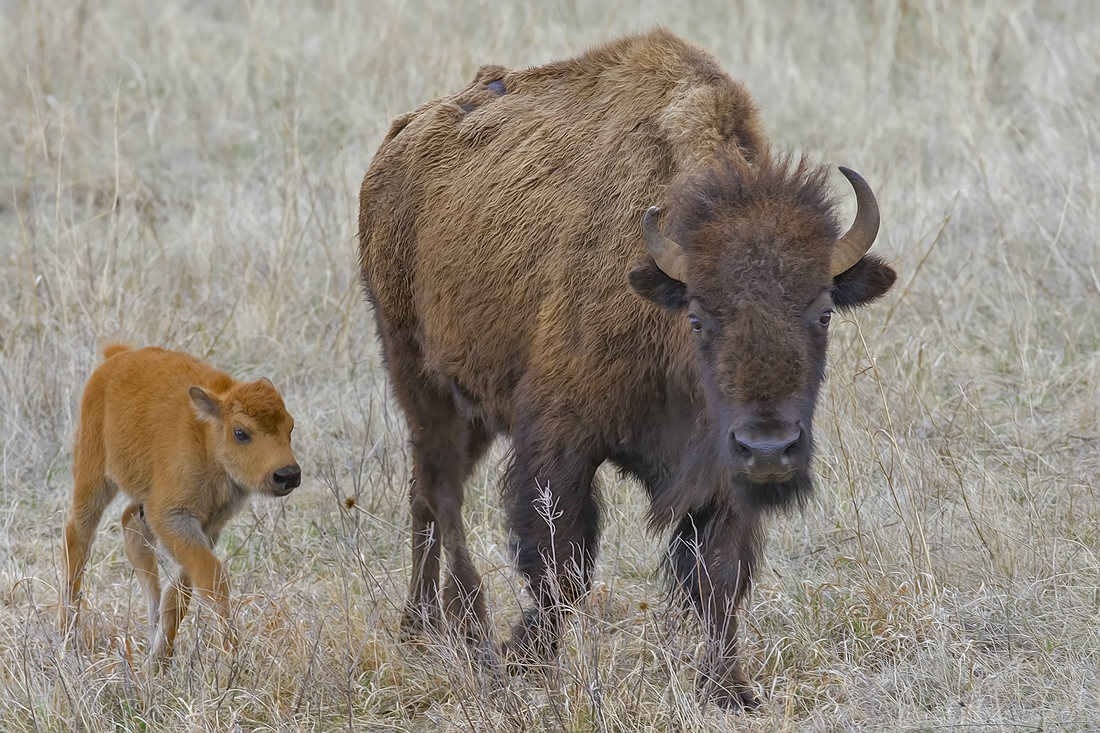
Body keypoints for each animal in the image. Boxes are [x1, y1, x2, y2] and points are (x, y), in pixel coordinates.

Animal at [58, 343, 301, 660]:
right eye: (241, 432)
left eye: (290, 427)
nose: (288, 475)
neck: (208, 439)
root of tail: (118, 355)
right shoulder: (171, 516)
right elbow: (213, 579)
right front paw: (232, 655)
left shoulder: (207, 526)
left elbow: (181, 592)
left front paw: (160, 659)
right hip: (94, 474)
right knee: (78, 535)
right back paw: (66, 633)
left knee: (130, 526)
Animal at [358, 29, 893, 708]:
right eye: (698, 316)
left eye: (823, 311)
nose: (770, 447)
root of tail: (400, 139)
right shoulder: (560, 440)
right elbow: (560, 564)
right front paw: (522, 662)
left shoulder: (721, 472)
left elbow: (720, 576)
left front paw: (728, 688)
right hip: (418, 375)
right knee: (439, 492)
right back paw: (460, 626)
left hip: (472, 403)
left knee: (426, 496)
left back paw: (424, 625)